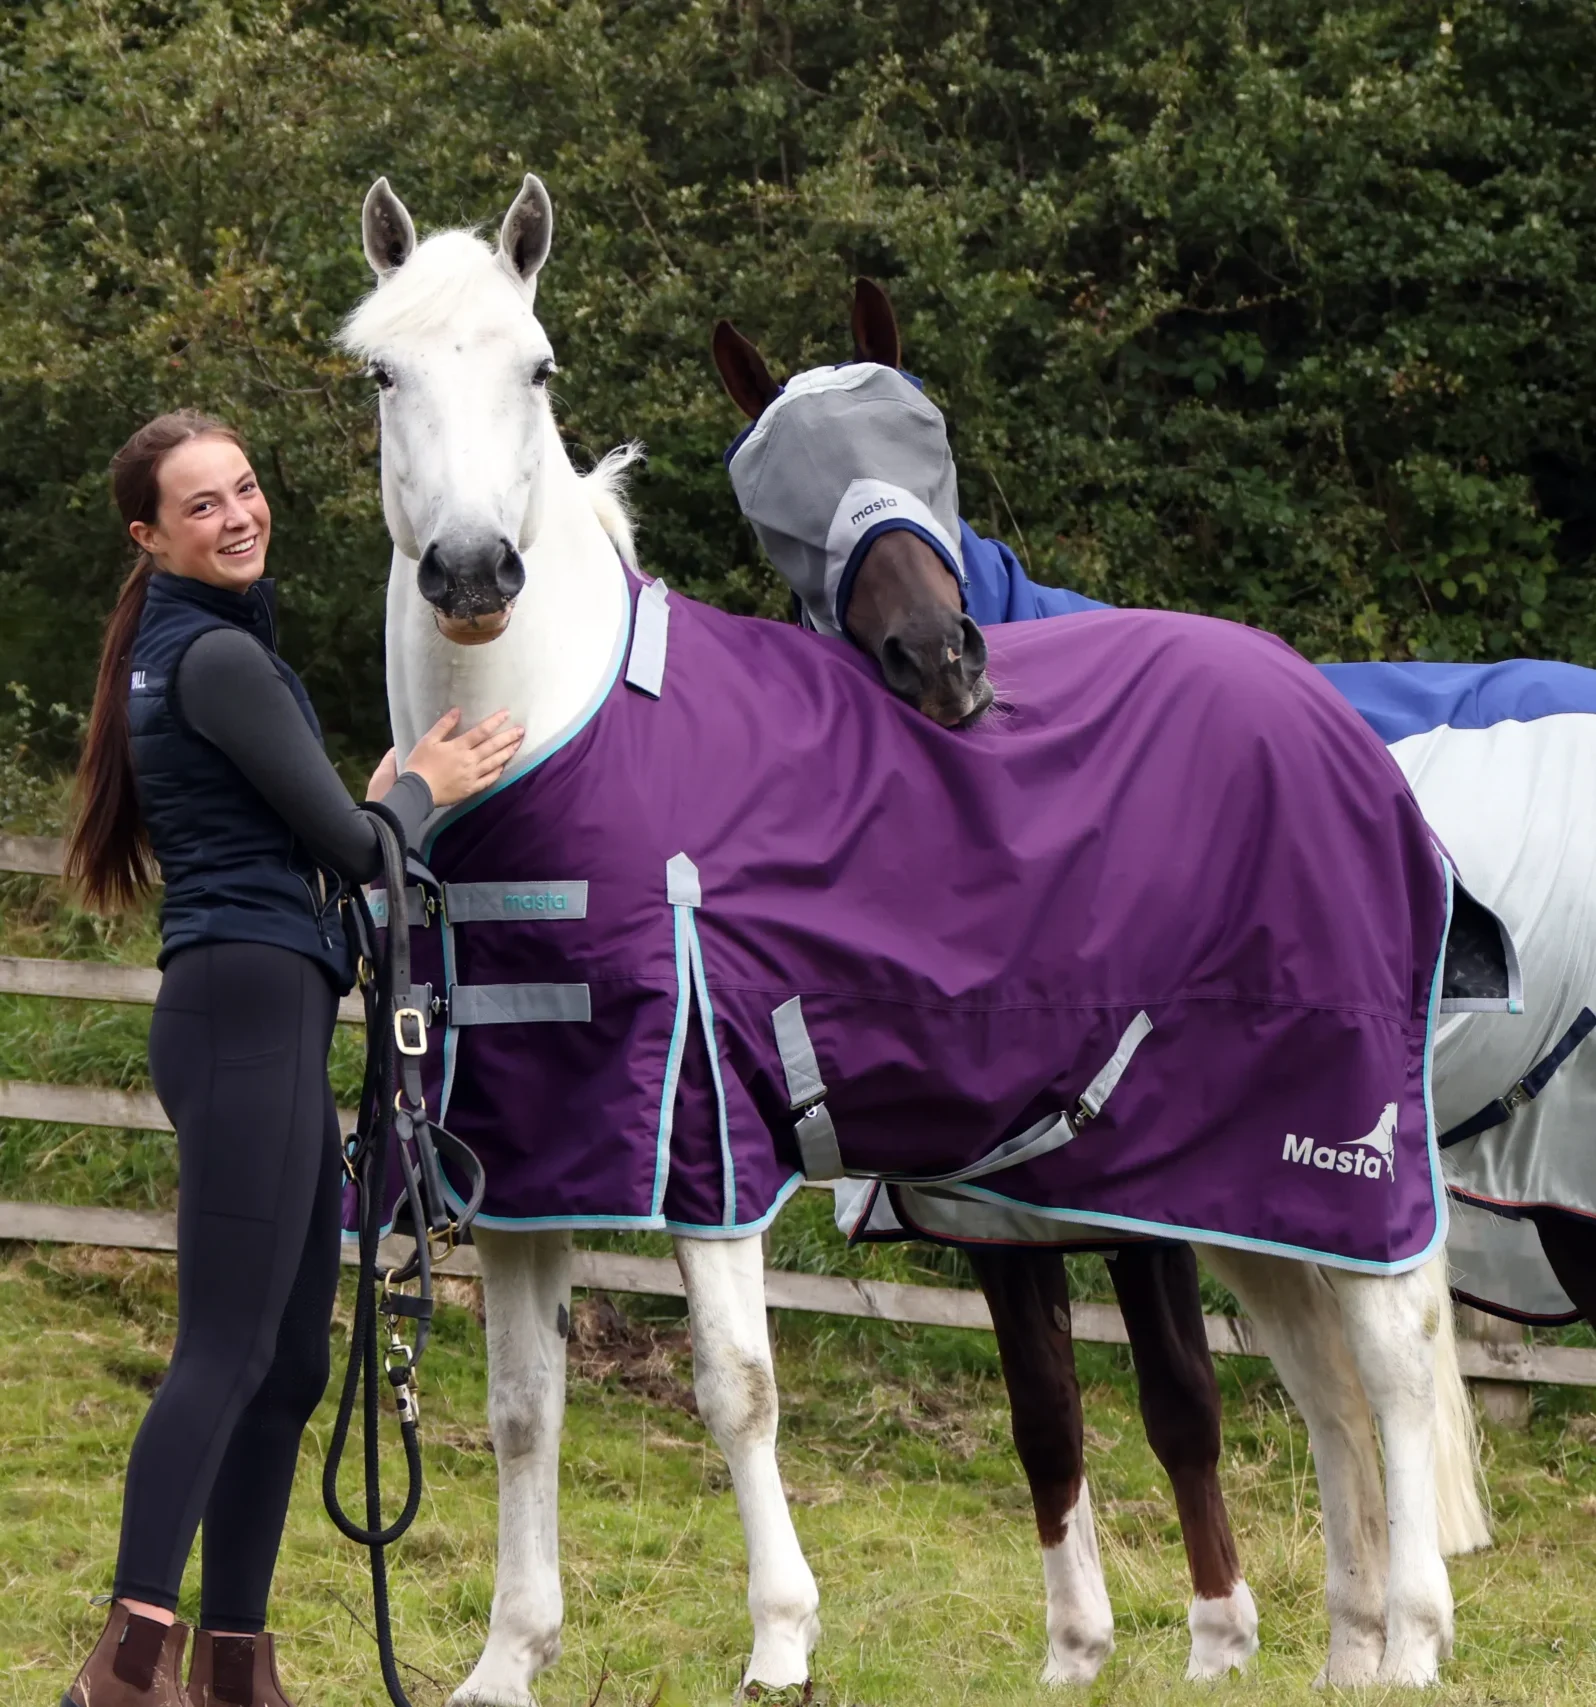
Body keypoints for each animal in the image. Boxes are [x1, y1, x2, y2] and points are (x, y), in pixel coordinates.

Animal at [341, 175, 1487, 1701]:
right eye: (382, 373)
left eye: (536, 368)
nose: (474, 572)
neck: (566, 761)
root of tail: (1330, 716)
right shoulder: (533, 1164)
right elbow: (525, 1404)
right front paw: (507, 1657)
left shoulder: (708, 1139)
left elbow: (737, 1388)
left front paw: (781, 1638)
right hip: (1219, 1178)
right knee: (1320, 1373)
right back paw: (1352, 1648)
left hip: (1334, 1142)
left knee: (1398, 1351)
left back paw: (1412, 1635)